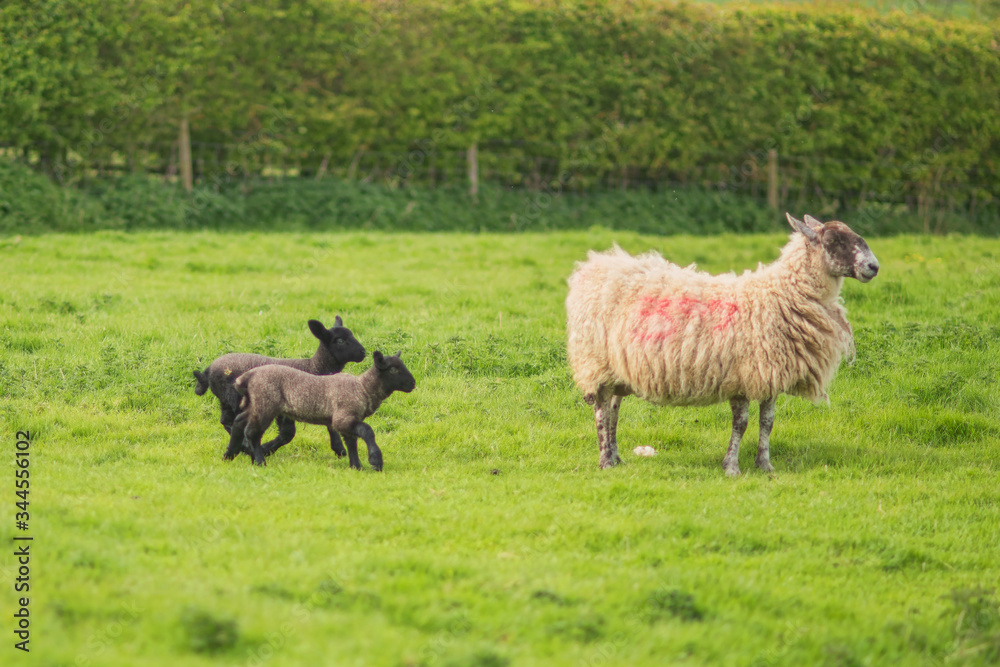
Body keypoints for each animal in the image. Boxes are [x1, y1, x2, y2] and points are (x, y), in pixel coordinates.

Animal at [193, 316, 365, 459]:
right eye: (340, 340)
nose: (363, 352)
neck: (314, 367)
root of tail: (208, 370)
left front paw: (339, 449)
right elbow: (287, 434)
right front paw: (266, 449)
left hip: (225, 398)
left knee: (226, 420)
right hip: (232, 397)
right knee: (233, 420)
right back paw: (246, 447)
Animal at [229, 350, 416, 469]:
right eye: (393, 369)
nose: (413, 383)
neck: (363, 388)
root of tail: (248, 377)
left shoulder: (347, 422)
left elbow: (352, 443)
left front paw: (356, 466)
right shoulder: (343, 417)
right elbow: (367, 431)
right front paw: (375, 461)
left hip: (254, 404)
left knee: (239, 422)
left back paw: (229, 455)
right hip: (265, 404)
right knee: (252, 432)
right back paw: (259, 462)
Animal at [565, 213, 879, 476]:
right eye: (834, 241)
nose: (873, 266)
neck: (779, 294)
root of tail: (596, 265)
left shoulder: (771, 374)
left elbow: (768, 422)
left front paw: (765, 465)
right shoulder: (741, 375)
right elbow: (741, 424)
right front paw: (731, 467)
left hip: (619, 367)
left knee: (614, 410)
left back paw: (616, 458)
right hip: (596, 362)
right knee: (601, 411)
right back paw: (605, 461)